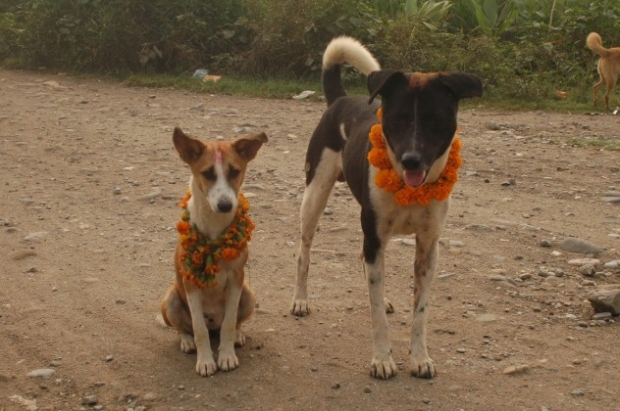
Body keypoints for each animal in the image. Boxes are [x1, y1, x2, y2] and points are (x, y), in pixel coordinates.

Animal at [160, 127, 266, 378]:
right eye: (207, 173)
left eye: (235, 171)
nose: (226, 205)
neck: (215, 228)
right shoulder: (190, 282)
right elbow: (198, 328)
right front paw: (206, 361)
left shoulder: (236, 279)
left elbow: (229, 322)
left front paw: (226, 356)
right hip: (170, 299)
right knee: (185, 328)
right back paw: (187, 342)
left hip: (249, 295)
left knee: (231, 323)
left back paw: (237, 335)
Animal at [290, 37, 484, 382]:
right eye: (398, 118)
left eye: (435, 121)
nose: (411, 160)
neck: (411, 189)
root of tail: (341, 100)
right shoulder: (375, 238)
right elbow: (377, 316)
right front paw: (381, 359)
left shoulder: (427, 247)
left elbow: (420, 312)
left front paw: (419, 358)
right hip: (314, 196)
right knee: (305, 251)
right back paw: (300, 299)